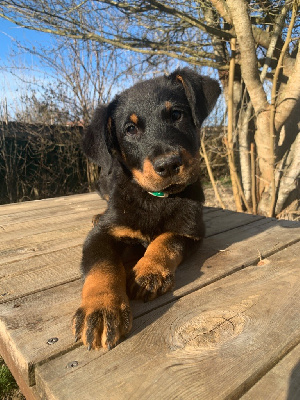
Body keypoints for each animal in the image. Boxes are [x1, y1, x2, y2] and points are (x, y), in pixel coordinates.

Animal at [72, 69, 220, 350]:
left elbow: (167, 240)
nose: (168, 165)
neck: (155, 198)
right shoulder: (101, 234)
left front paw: (148, 271)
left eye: (176, 115)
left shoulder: (192, 229)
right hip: (103, 182)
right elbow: (102, 266)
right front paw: (101, 310)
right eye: (130, 129)